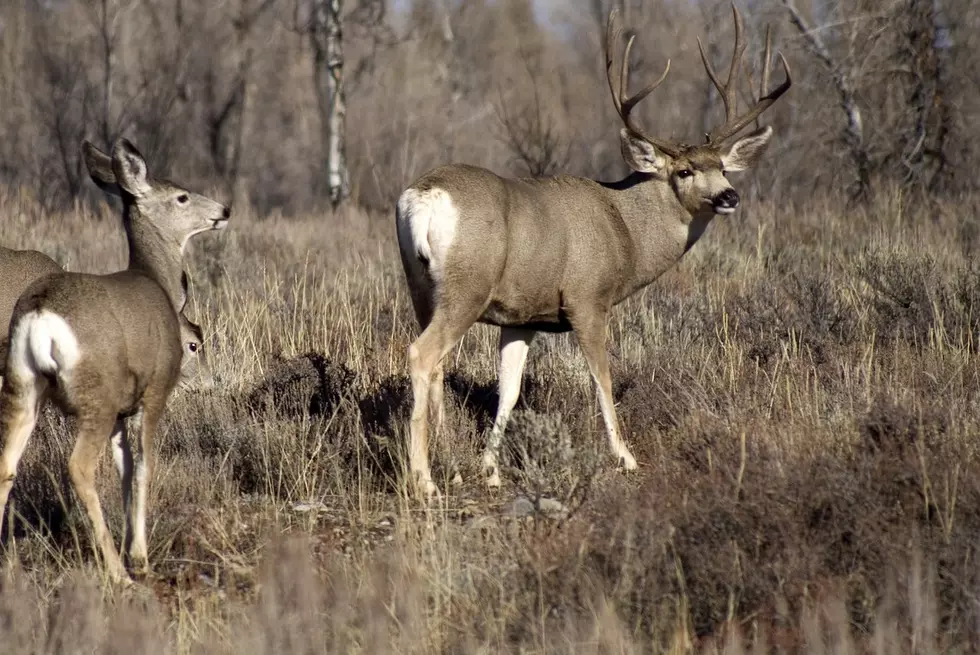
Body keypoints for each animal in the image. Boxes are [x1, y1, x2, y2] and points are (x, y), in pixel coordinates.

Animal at [0, 138, 228, 580]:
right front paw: (138, 555)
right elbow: (144, 467)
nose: (224, 210)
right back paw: (116, 572)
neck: (155, 282)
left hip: (23, 384)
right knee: (78, 467)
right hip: (95, 394)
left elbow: (124, 472)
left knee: (5, 463)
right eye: (182, 196)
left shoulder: (123, 410)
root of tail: (40, 313)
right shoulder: (153, 393)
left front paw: (129, 542)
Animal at [396, 6, 788, 498]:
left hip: (422, 288)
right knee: (421, 355)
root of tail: (423, 197)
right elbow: (602, 378)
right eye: (683, 170)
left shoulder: (523, 316)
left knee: (437, 366)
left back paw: (448, 464)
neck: (625, 229)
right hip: (467, 287)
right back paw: (424, 480)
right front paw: (627, 458)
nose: (729, 196)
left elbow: (509, 390)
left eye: (721, 167)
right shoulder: (588, 298)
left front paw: (490, 470)